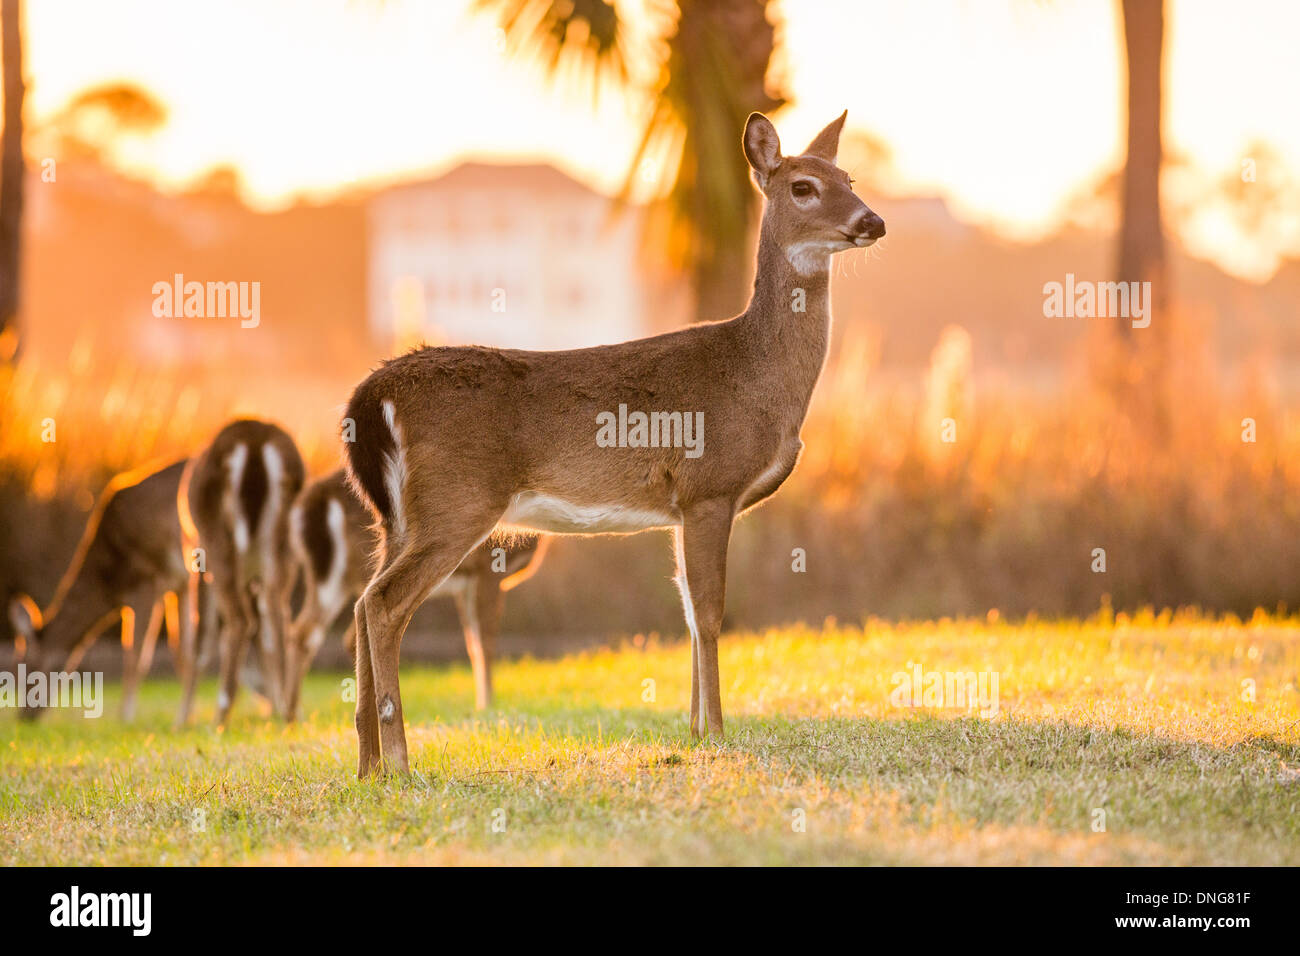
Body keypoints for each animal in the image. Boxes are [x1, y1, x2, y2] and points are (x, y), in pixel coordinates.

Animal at [6, 460, 214, 723]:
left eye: (26, 668)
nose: (24, 716)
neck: (108, 585)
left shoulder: (147, 580)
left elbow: (136, 655)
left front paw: (126, 717)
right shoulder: (179, 584)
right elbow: (182, 651)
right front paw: (186, 719)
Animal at [179, 418, 302, 723]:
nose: (262, 694)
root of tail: (255, 443)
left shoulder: (196, 560)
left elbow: (200, 636)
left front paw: (181, 720)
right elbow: (262, 633)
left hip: (214, 542)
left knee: (240, 620)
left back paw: (219, 716)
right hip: (284, 551)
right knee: (276, 616)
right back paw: (287, 712)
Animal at [284, 468, 548, 723]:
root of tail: (309, 503)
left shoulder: (465, 586)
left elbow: (472, 643)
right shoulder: (487, 571)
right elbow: (486, 642)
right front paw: (488, 706)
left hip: (330, 579)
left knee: (308, 632)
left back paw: (293, 714)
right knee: (327, 632)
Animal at [343, 110, 883, 780]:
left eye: (850, 178)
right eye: (803, 186)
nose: (873, 221)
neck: (756, 374)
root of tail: (372, 395)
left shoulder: (681, 508)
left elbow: (686, 609)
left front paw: (693, 730)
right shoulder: (710, 487)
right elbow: (710, 611)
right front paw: (719, 732)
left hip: (394, 517)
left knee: (362, 601)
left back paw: (367, 763)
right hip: (456, 501)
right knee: (385, 604)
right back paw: (398, 761)